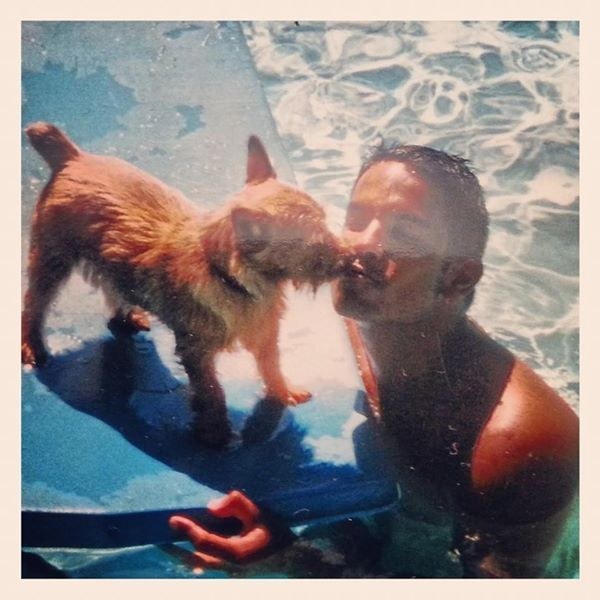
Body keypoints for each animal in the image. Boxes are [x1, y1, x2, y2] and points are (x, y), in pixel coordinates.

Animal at [22, 123, 342, 446]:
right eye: (316, 244)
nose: (351, 257)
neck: (229, 278)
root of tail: (72, 157)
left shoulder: (264, 334)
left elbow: (271, 365)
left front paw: (282, 391)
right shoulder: (196, 352)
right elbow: (212, 392)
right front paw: (216, 432)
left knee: (115, 286)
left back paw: (126, 316)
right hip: (52, 261)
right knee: (34, 304)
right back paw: (32, 346)